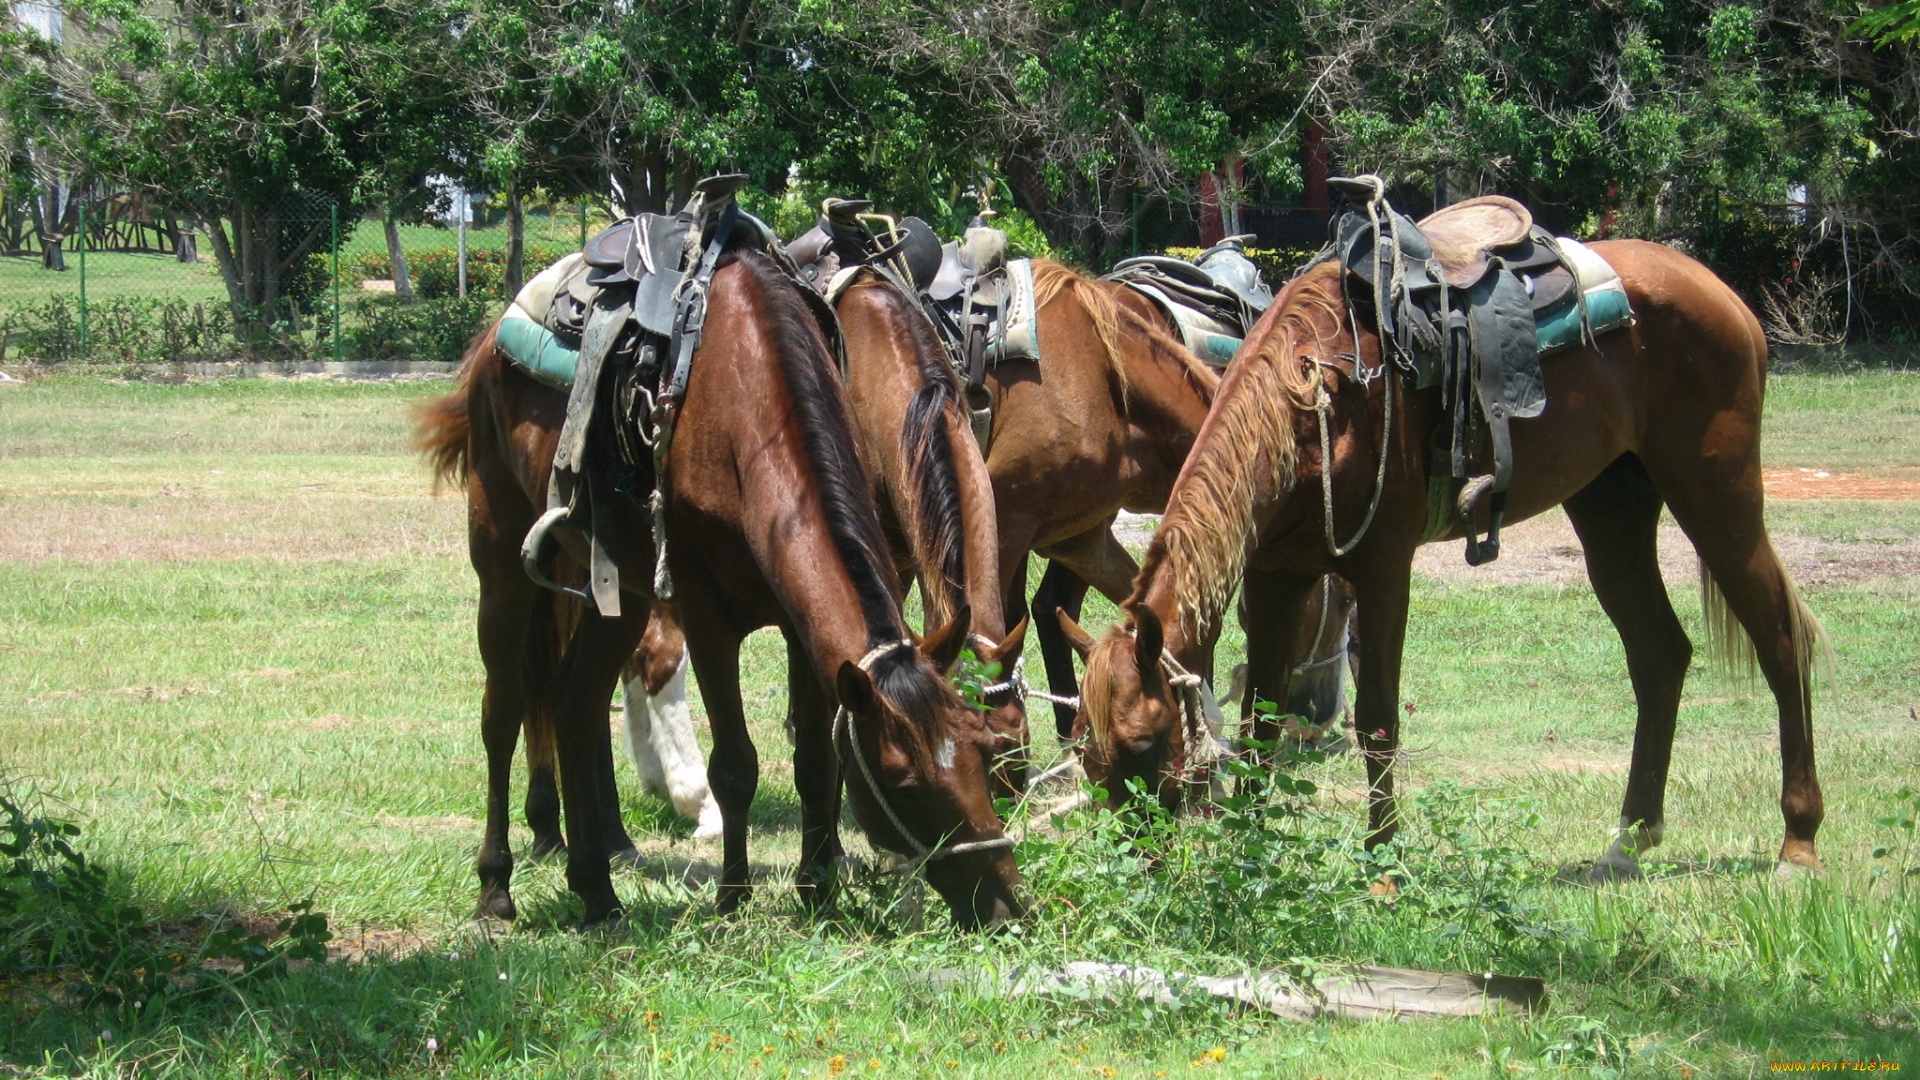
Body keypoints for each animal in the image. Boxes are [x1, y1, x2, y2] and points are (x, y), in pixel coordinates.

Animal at [416, 245, 1021, 926]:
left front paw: (819, 890)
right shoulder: (707, 618)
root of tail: (492, 343)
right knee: (505, 712)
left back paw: (597, 889)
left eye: (986, 751)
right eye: (905, 783)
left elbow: (817, 757)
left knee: (575, 703)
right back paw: (498, 885)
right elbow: (735, 764)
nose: (1007, 904)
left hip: (617, 594)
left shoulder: (805, 625)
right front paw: (734, 896)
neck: (747, 419)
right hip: (502, 567)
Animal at [1067, 242, 1827, 876]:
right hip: (1612, 509)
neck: (1317, 403)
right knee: (1659, 654)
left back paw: (1798, 841)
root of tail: (1719, 293)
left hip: (1715, 495)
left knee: (1780, 639)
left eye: (1144, 743)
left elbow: (1376, 719)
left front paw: (1381, 864)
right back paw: (1630, 839)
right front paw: (1251, 856)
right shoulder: (1275, 574)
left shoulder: (1381, 568)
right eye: (1083, 749)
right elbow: (1263, 723)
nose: (1131, 865)